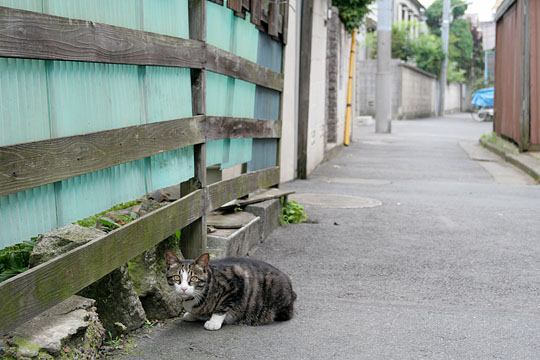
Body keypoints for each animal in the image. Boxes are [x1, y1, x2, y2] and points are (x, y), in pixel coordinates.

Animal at [167, 252, 298, 330]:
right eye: (176, 278)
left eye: (194, 278)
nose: (184, 288)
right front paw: (192, 315)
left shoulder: (236, 284)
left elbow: (222, 306)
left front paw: (214, 321)